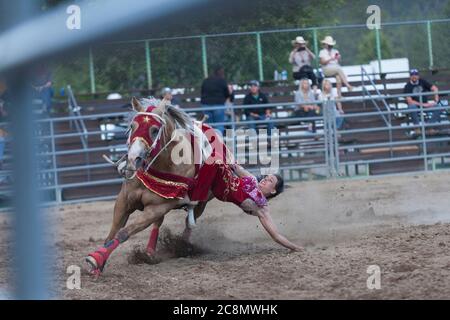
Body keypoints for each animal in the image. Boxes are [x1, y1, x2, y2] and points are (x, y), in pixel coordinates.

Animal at [86, 97, 213, 276]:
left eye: (154, 130)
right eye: (132, 126)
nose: (133, 159)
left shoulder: (156, 208)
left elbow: (123, 233)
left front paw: (96, 258)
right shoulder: (123, 201)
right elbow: (112, 232)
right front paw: (98, 264)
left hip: (201, 203)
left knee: (188, 224)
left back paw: (181, 247)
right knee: (158, 224)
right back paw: (150, 252)